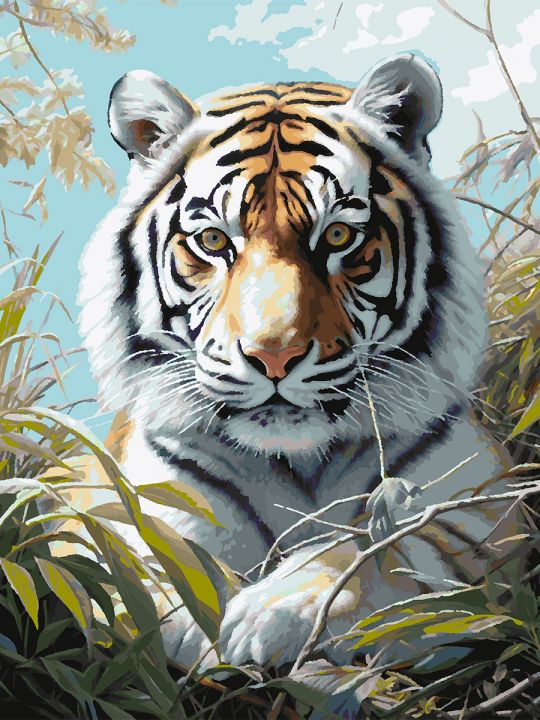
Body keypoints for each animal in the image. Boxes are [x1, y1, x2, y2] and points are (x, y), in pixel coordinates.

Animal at [77, 53, 517, 669]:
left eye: (337, 236)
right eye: (212, 241)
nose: (274, 355)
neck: (300, 460)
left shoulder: (484, 514)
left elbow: (382, 549)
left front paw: (277, 609)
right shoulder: (147, 496)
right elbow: (150, 552)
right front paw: (189, 618)